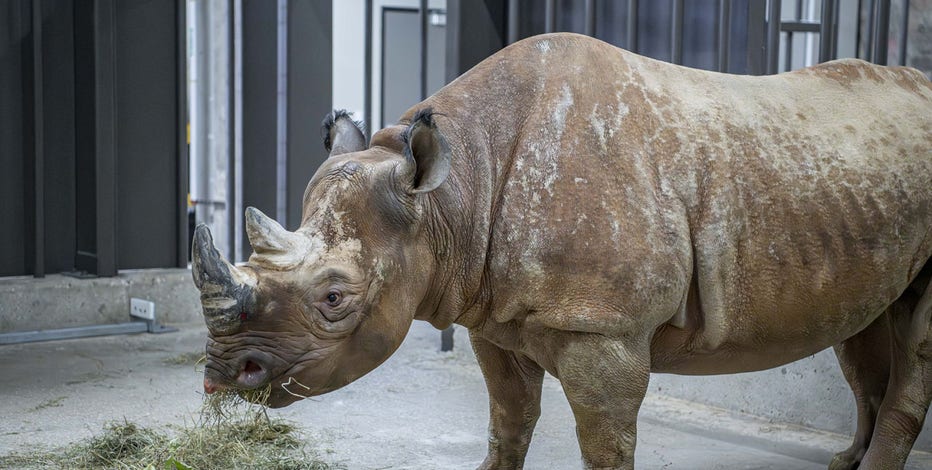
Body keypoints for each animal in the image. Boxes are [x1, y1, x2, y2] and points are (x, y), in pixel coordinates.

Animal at [192, 33, 932, 469]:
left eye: (335, 296)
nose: (223, 375)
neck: (451, 198)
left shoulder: (604, 328)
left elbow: (603, 441)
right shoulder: (491, 312)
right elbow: (509, 421)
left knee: (913, 343)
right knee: (865, 326)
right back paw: (846, 463)